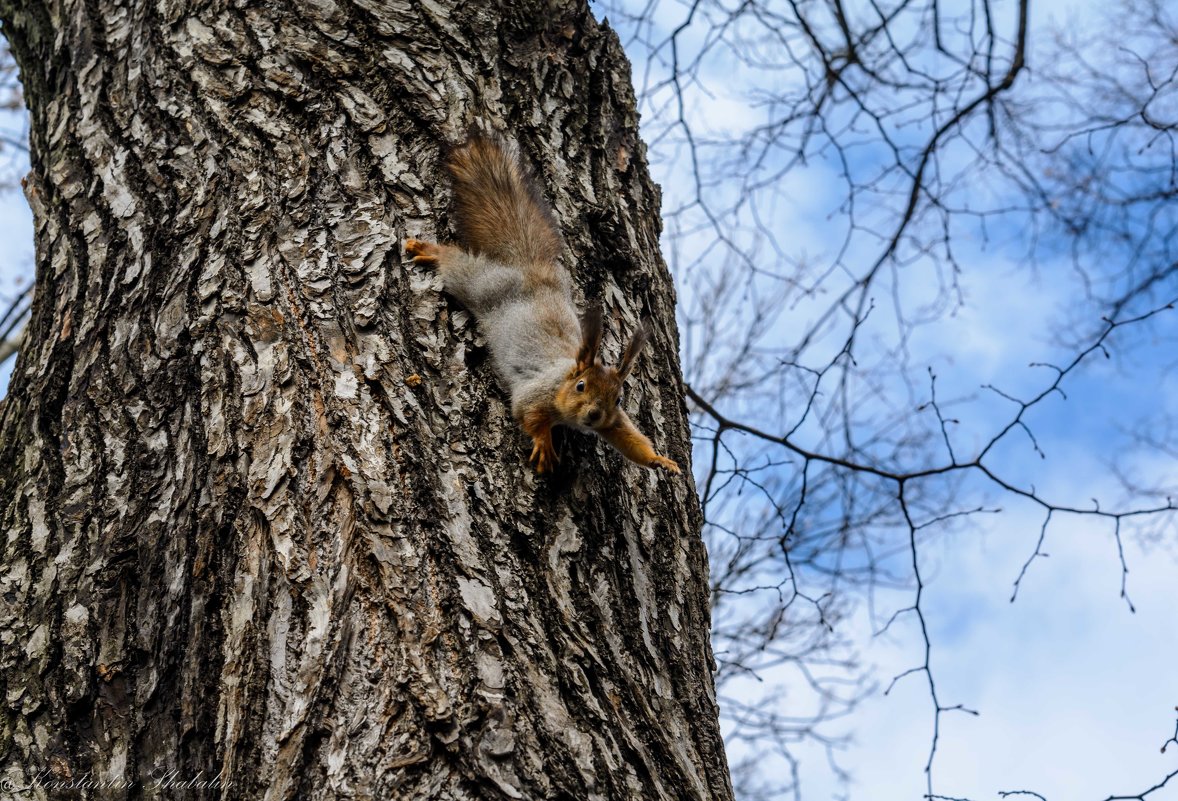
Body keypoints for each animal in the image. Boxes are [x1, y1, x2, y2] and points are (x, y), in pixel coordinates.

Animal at [405, 136, 683, 475]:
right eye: (580, 386)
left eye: (618, 399)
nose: (593, 415)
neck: (564, 379)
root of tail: (531, 271)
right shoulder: (537, 392)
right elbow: (528, 414)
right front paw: (544, 444)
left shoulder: (614, 422)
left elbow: (632, 442)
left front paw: (660, 460)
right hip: (482, 285)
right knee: (456, 265)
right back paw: (429, 250)